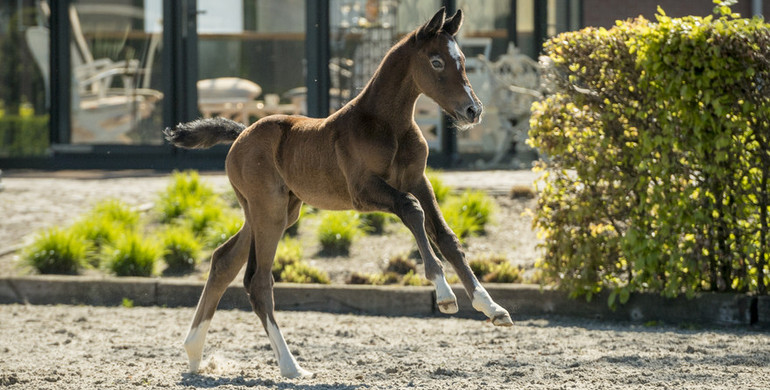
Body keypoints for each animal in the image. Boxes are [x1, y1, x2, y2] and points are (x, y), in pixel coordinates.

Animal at [164, 6, 510, 378]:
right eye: (436, 62)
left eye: (462, 60)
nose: (473, 111)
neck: (388, 125)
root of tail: (242, 133)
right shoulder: (364, 190)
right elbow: (411, 210)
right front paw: (444, 294)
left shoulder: (419, 180)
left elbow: (445, 235)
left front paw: (491, 307)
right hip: (269, 211)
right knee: (258, 282)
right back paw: (291, 366)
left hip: (276, 212)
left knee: (224, 261)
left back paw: (194, 355)